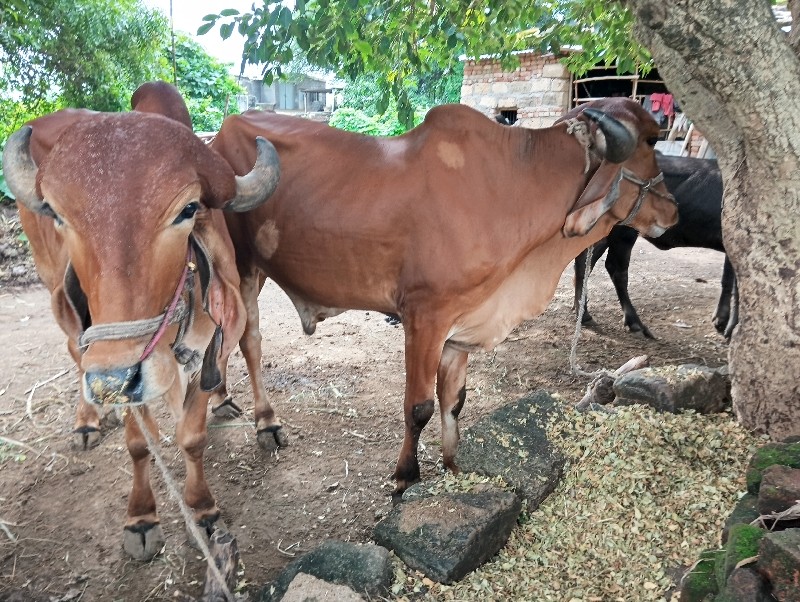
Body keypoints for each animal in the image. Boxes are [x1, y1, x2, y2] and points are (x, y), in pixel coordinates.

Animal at [3, 82, 280, 556]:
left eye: (188, 209)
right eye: (56, 213)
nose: (113, 380)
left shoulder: (208, 343)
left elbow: (192, 434)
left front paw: (202, 509)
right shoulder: (116, 367)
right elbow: (136, 444)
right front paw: (142, 516)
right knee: (74, 353)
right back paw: (88, 420)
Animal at [211, 96, 676, 494]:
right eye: (651, 139)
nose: (673, 210)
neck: (514, 184)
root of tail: (221, 133)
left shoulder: (462, 325)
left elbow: (454, 401)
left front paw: (453, 467)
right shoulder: (424, 317)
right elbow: (419, 407)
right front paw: (405, 477)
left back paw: (221, 401)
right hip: (241, 265)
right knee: (247, 339)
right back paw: (266, 423)